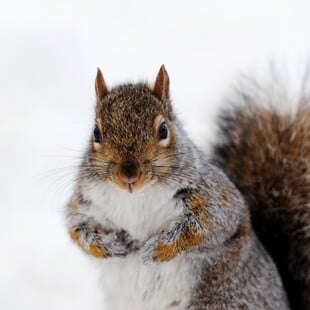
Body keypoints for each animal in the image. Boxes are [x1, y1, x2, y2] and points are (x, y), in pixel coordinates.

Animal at [66, 65, 308, 308]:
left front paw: (158, 249)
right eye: (96, 133)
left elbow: (206, 225)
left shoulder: (214, 197)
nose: (128, 177)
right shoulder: (85, 201)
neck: (135, 198)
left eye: (163, 130)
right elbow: (76, 227)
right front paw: (105, 245)